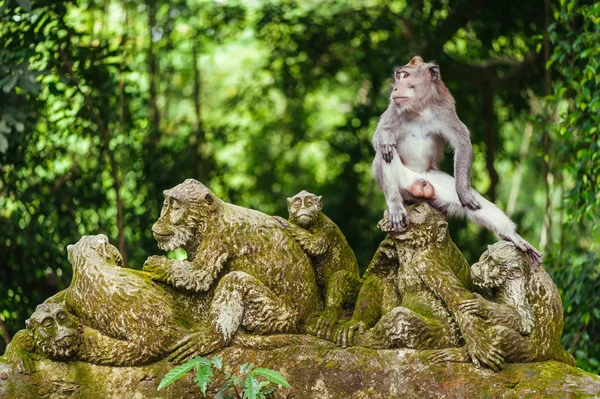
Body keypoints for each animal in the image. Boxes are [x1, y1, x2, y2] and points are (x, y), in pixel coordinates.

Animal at [274, 191, 358, 340]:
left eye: (308, 203)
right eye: (297, 204)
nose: (302, 208)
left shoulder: (327, 229)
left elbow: (314, 244)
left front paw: (284, 222)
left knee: (340, 277)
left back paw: (330, 313)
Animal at [372, 55, 540, 262]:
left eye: (405, 75)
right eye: (398, 76)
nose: (395, 88)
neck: (420, 109)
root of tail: (419, 180)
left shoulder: (445, 110)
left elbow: (462, 143)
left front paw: (464, 193)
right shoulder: (394, 109)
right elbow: (379, 139)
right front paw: (385, 136)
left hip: (434, 185)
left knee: (473, 202)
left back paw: (511, 235)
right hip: (403, 185)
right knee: (386, 153)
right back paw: (395, 205)